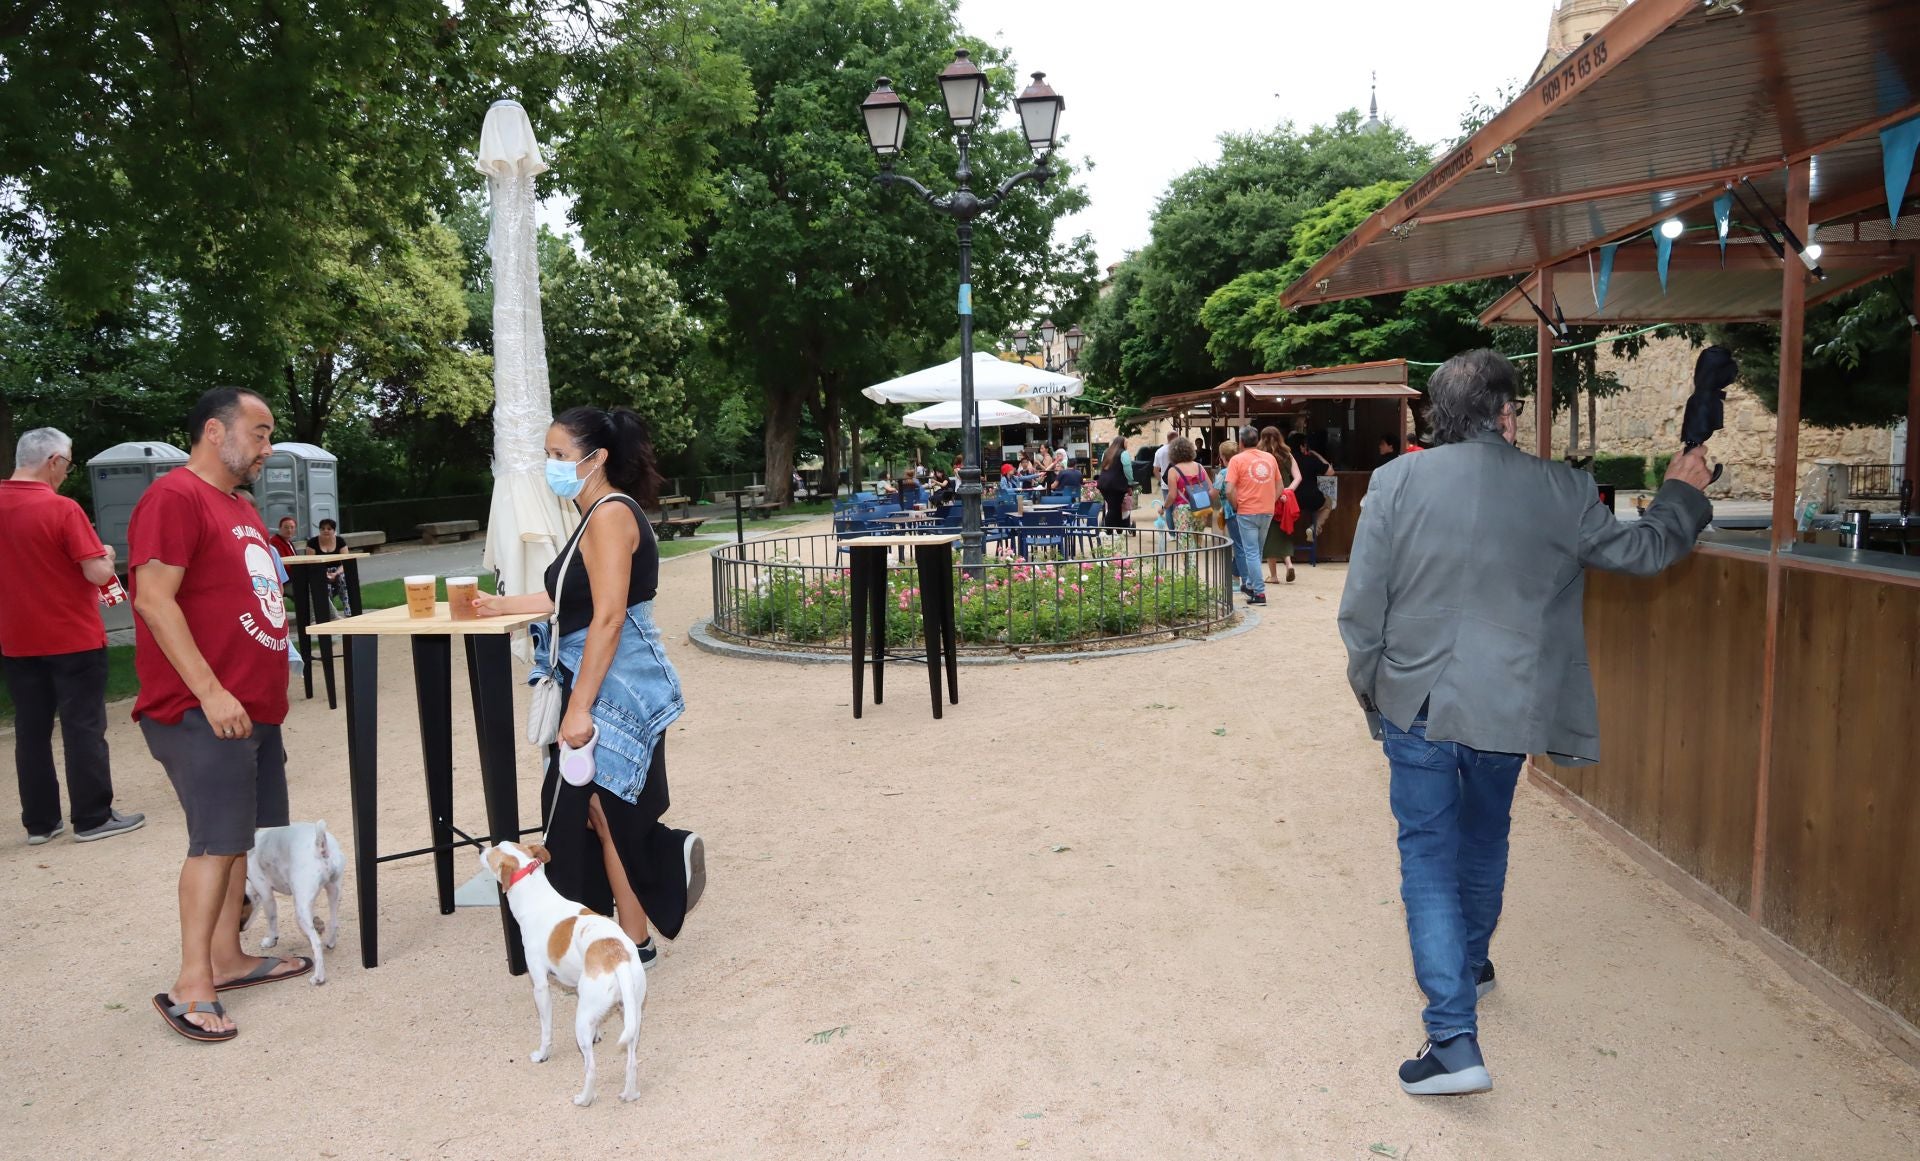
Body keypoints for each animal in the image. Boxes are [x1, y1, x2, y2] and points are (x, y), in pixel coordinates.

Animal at [243, 821, 345, 982]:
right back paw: (330, 942)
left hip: (300, 908)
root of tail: (320, 848)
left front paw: (271, 941)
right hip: (332, 891)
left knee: (316, 943)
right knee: (334, 923)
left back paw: (318, 977)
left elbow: (271, 921)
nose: (241, 929)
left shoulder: (267, 895)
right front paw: (317, 923)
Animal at [483, 836, 648, 1097]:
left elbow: (546, 1030)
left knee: (591, 1067)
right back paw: (629, 1095)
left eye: (492, 853)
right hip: (631, 1013)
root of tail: (617, 956)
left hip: (582, 1022)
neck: (537, 898)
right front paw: (597, 1034)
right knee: (631, 1061)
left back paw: (584, 1098)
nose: (481, 849)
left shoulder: (540, 986)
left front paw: (542, 1055)